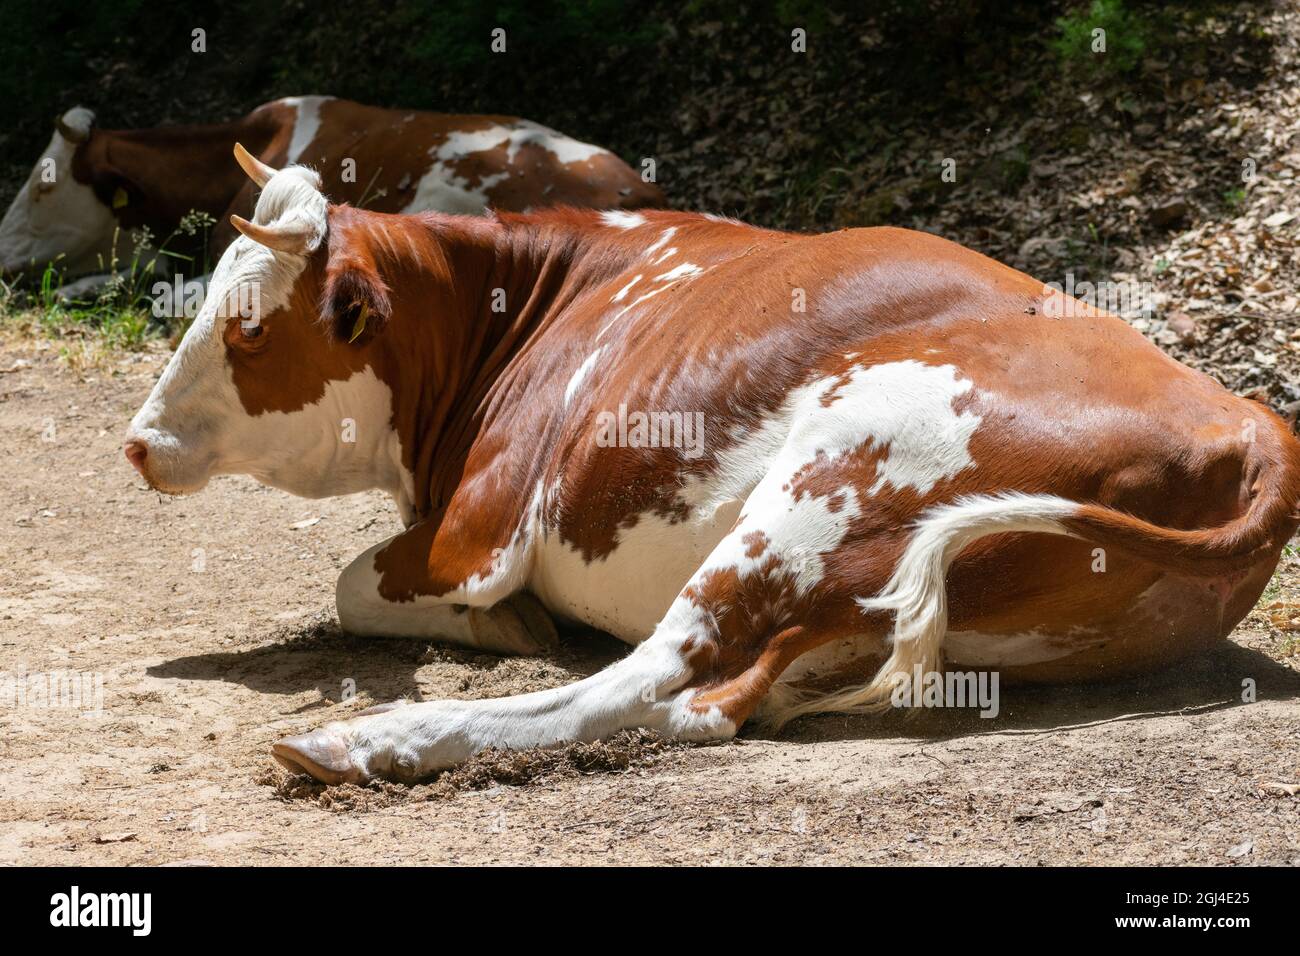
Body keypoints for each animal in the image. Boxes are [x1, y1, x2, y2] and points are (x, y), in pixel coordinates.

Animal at [124, 148, 1300, 785]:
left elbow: (357, 578)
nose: (137, 440)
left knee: (665, 680)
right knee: (720, 693)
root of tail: (1249, 424)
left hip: (834, 479)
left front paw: (500, 628)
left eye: (249, 328)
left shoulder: (477, 530)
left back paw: (365, 740)